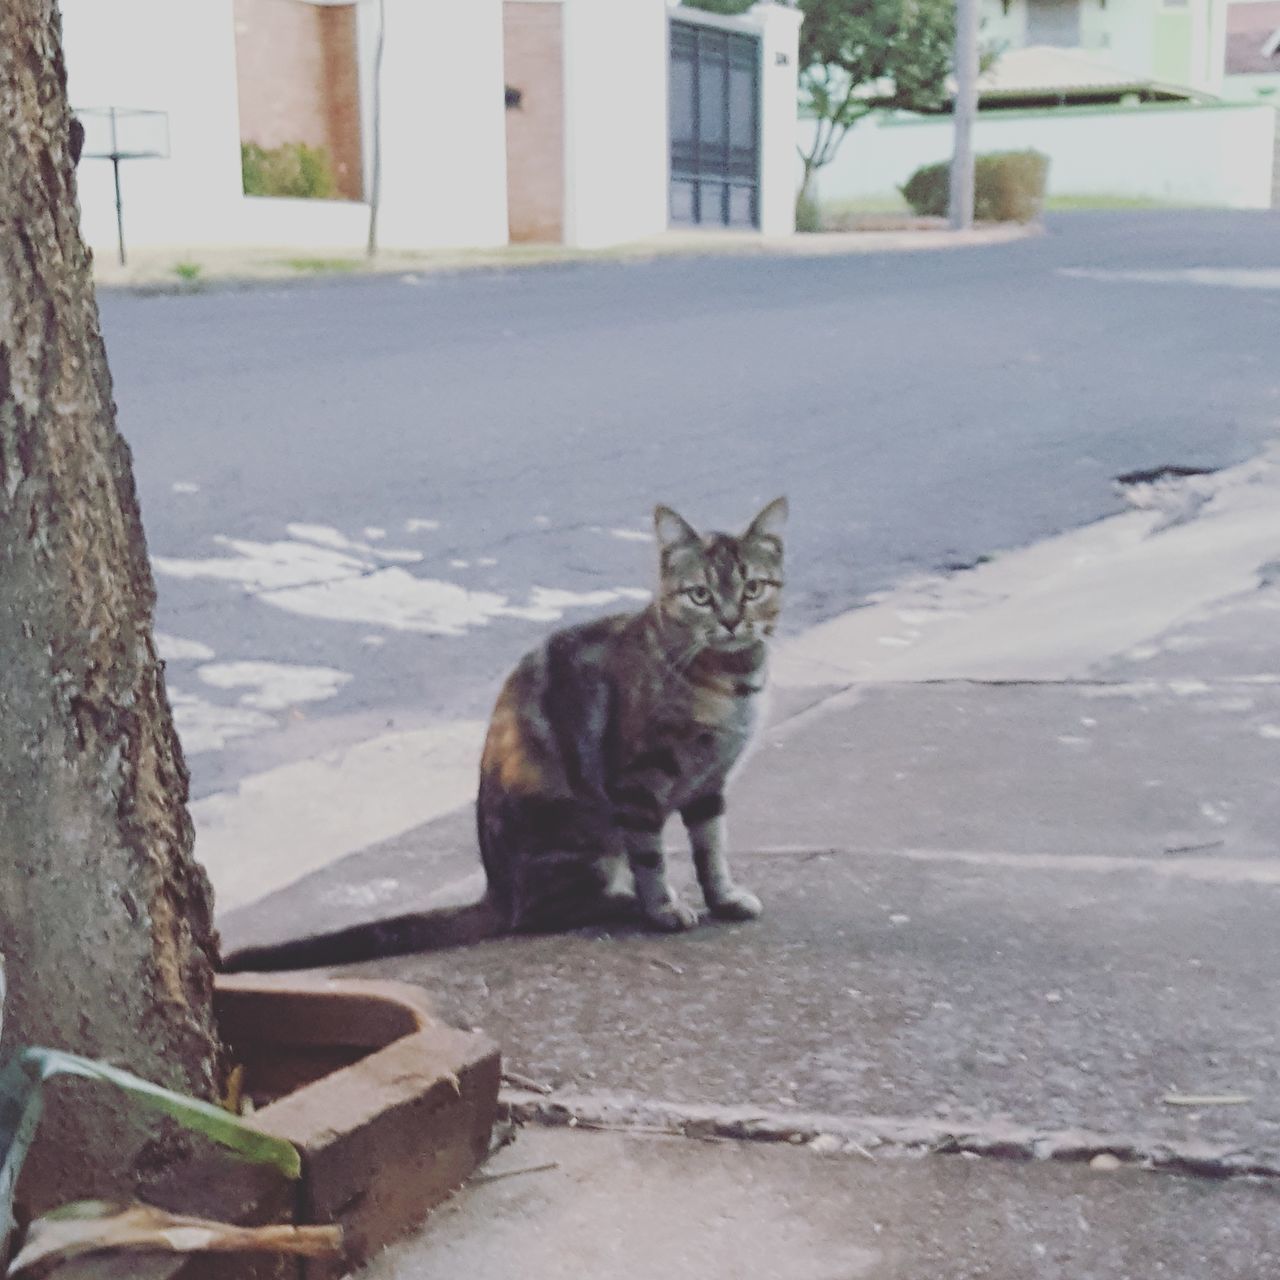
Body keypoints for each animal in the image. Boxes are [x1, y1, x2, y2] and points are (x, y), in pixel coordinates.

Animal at [218, 499, 778, 967]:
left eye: (752, 588)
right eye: (700, 595)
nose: (732, 621)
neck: (728, 681)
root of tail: (498, 889)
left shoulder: (709, 786)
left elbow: (712, 849)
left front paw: (724, 897)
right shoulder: (636, 784)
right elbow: (652, 859)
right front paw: (662, 908)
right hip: (588, 834)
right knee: (546, 909)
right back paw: (624, 900)